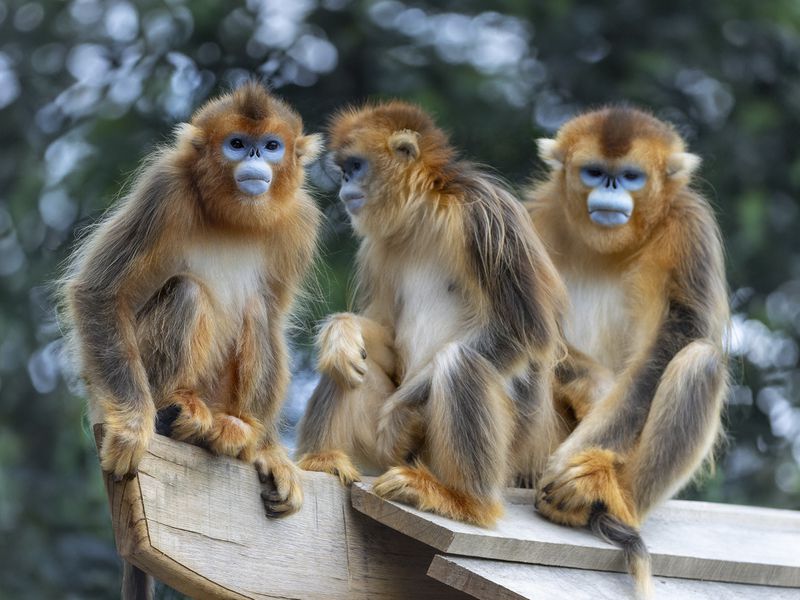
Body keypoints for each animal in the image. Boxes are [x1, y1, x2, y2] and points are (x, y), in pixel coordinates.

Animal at [61, 82, 322, 520]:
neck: (234, 219)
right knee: (187, 290)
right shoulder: (164, 188)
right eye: (237, 144)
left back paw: (239, 430)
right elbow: (101, 291)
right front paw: (133, 426)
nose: (254, 157)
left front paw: (269, 451)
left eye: (271, 146)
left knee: (259, 312)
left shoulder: (300, 220)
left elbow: (275, 316)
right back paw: (177, 407)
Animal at [296, 101, 567, 527]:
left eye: (355, 166)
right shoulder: (379, 248)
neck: (424, 212)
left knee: (459, 362)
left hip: (501, 446)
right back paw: (323, 458)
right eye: (345, 171)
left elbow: (523, 332)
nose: (343, 188)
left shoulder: (486, 212)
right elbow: (386, 338)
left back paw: (464, 501)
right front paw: (341, 332)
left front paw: (398, 416)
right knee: (346, 366)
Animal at [525, 106, 729, 598]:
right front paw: (596, 388)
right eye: (594, 171)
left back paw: (603, 494)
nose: (612, 188)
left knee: (700, 361)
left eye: (632, 176)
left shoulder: (689, 225)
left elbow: (677, 336)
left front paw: (573, 463)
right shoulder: (539, 213)